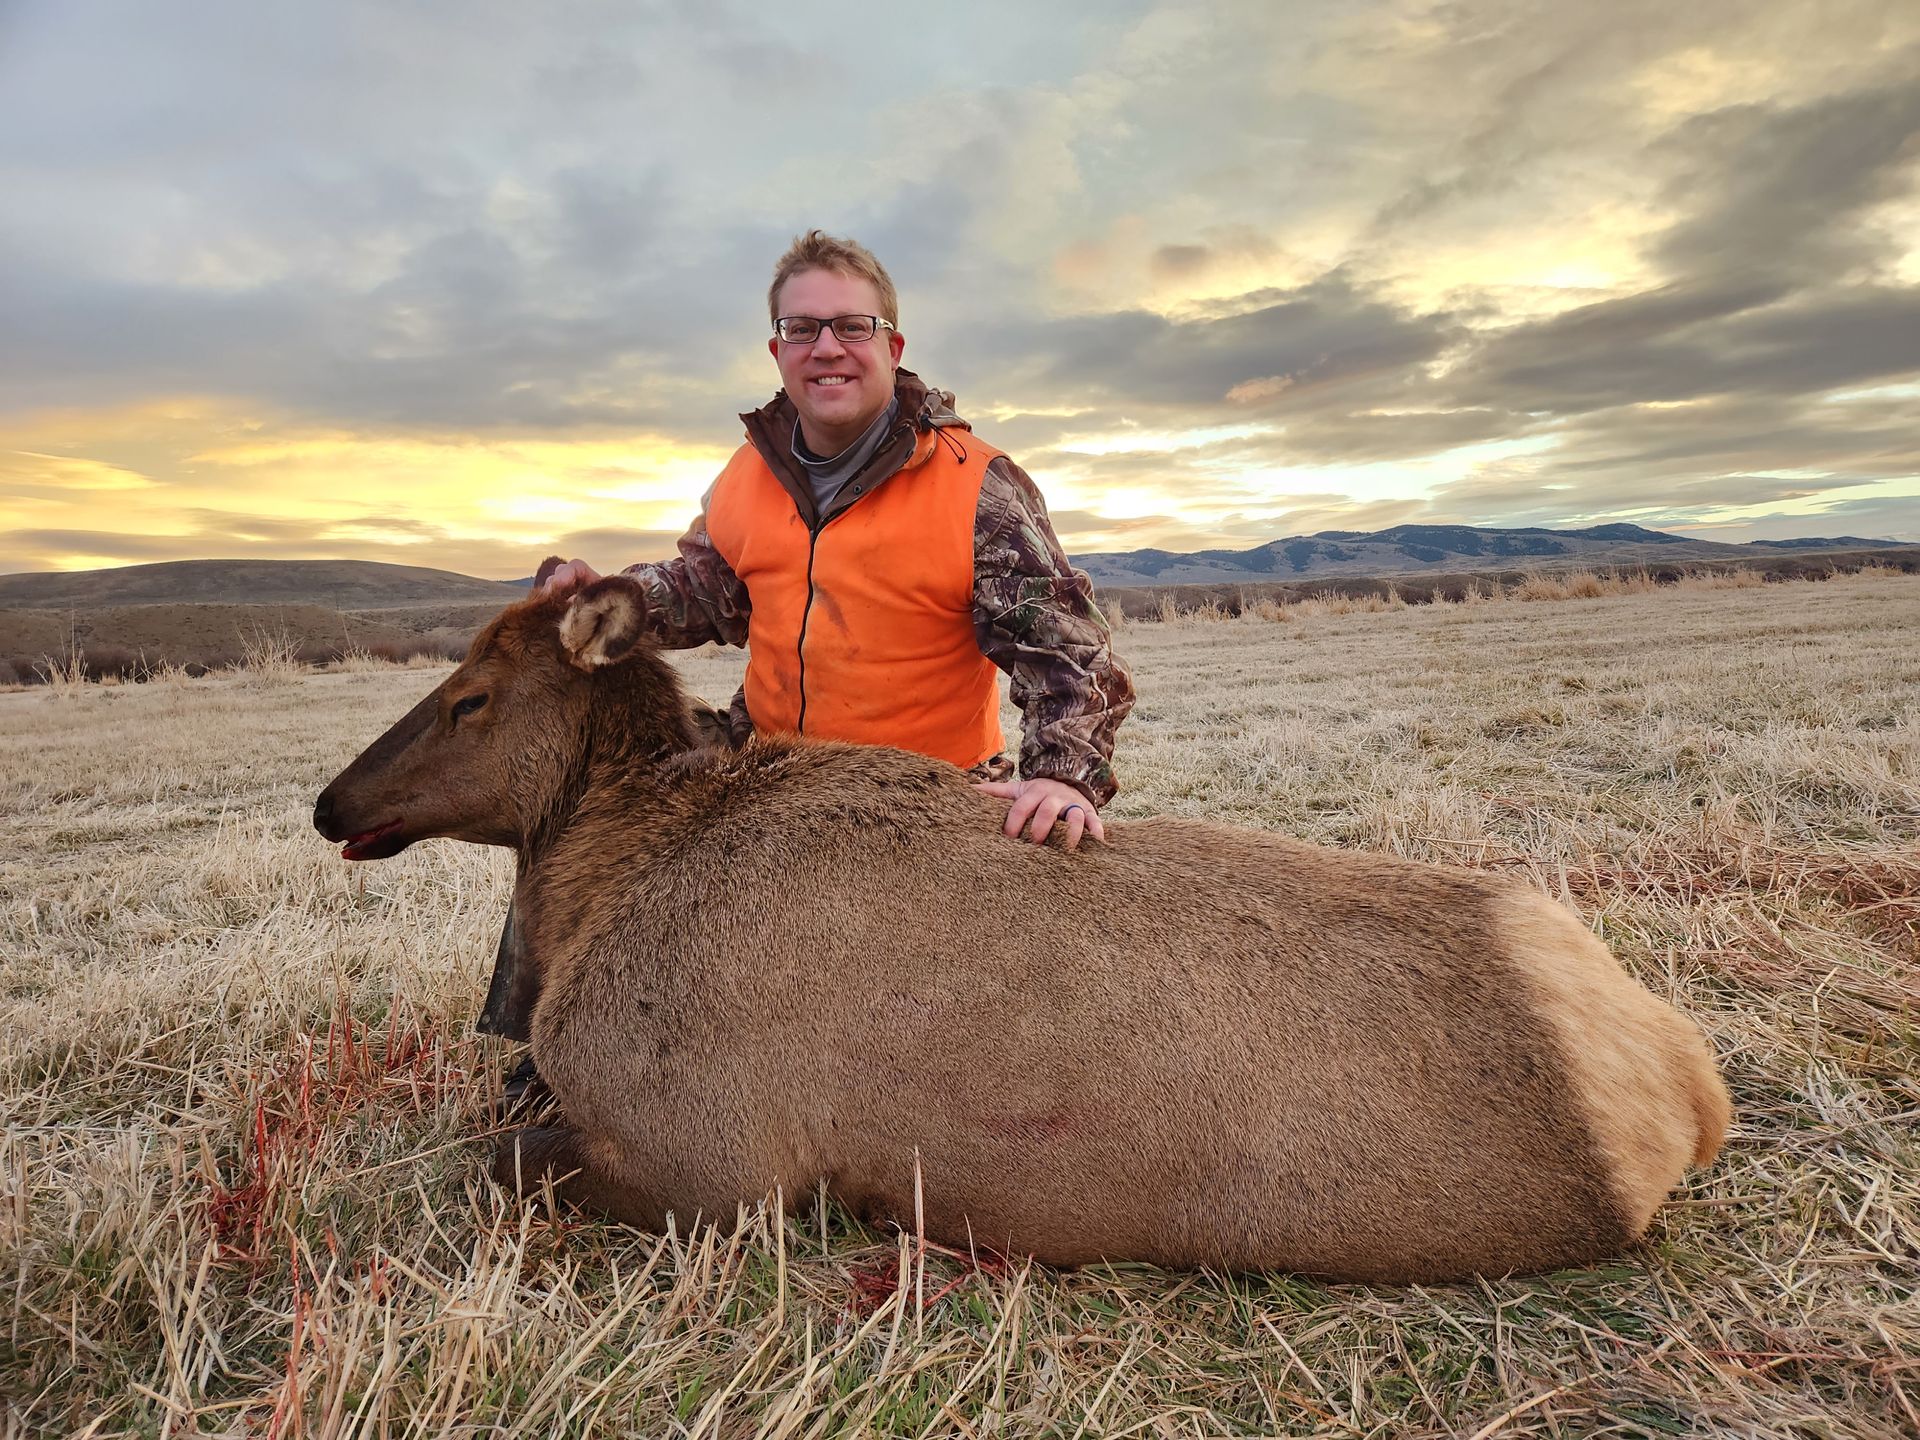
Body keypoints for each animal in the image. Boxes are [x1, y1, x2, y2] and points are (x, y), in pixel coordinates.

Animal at [313, 571, 1730, 1283]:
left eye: (470, 698)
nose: (331, 801)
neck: (603, 888)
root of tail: (1686, 1086)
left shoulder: (720, 1167)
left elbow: (484, 1157)